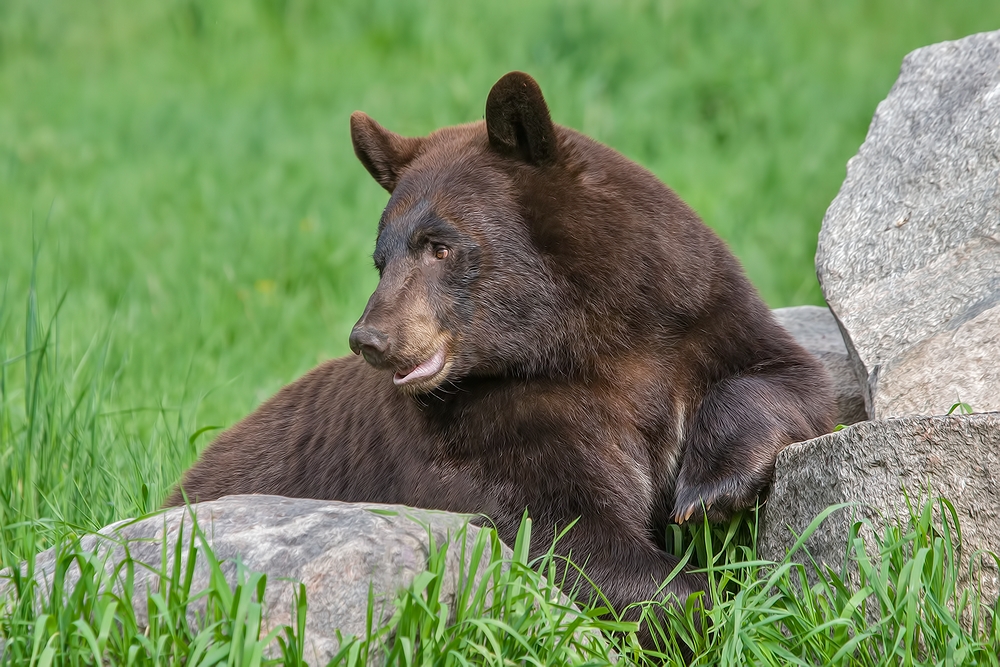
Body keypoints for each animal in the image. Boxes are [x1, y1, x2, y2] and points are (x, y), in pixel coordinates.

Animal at [166, 70, 836, 644]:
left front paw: (710, 488)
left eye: (438, 246)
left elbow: (781, 375)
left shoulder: (692, 311)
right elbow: (563, 535)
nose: (370, 338)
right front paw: (715, 606)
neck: (579, 339)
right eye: (382, 258)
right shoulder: (486, 429)